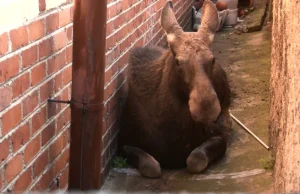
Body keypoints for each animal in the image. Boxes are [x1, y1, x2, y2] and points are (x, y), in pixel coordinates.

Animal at [118, 0, 231, 178]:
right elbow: (152, 167)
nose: (206, 108)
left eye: (212, 59)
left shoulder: (219, 135)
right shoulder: (123, 142)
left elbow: (195, 160)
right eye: (177, 61)